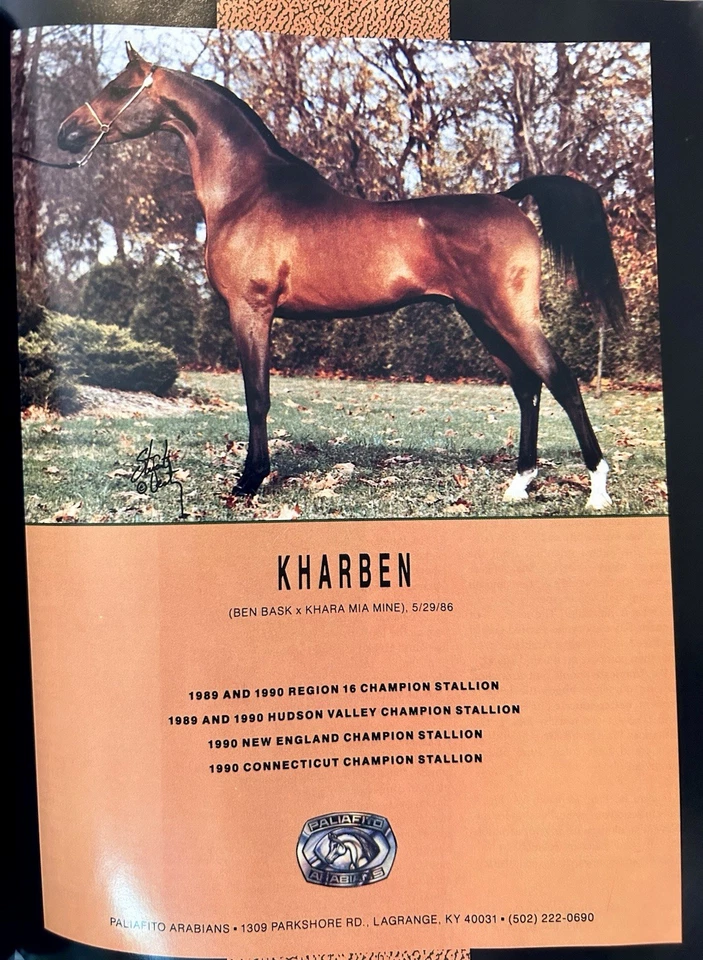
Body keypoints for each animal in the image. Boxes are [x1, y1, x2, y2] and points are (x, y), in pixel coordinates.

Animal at [57, 42, 628, 509]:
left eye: (118, 87)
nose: (66, 132)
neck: (247, 194)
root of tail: (510, 199)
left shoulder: (251, 310)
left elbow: (257, 396)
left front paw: (250, 480)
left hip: (509, 315)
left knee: (561, 380)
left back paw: (598, 488)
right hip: (481, 319)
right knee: (528, 386)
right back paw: (519, 484)